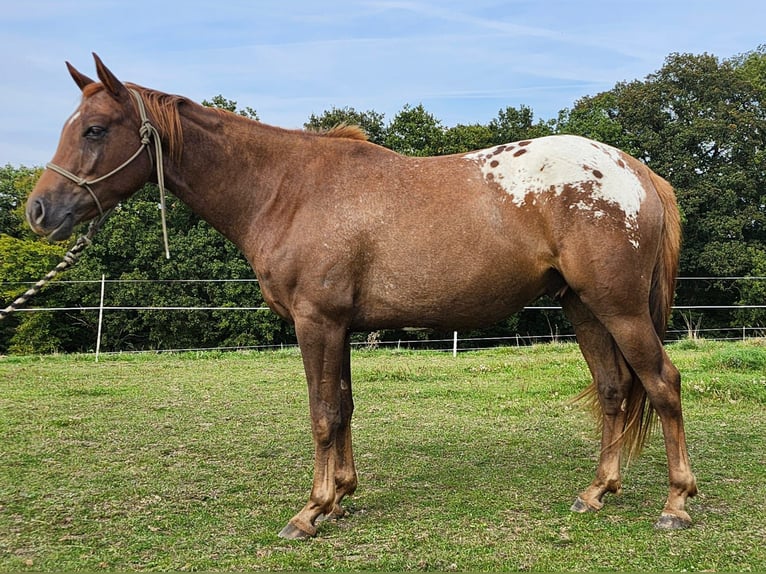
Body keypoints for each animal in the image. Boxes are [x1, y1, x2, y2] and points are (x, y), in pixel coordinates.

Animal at [26, 54, 697, 538]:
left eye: (95, 129)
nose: (38, 211)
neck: (286, 189)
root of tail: (635, 170)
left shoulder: (316, 322)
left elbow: (323, 413)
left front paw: (310, 511)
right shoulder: (340, 326)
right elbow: (344, 408)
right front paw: (341, 499)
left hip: (619, 309)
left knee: (662, 384)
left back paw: (676, 503)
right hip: (583, 308)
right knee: (614, 392)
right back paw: (597, 491)